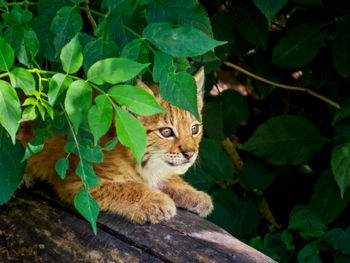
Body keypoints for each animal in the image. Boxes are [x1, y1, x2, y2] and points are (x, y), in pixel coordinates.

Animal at [19, 67, 213, 225]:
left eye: (195, 129)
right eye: (166, 132)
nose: (190, 153)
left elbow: (169, 178)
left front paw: (196, 195)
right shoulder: (80, 182)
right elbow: (128, 187)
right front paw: (157, 200)